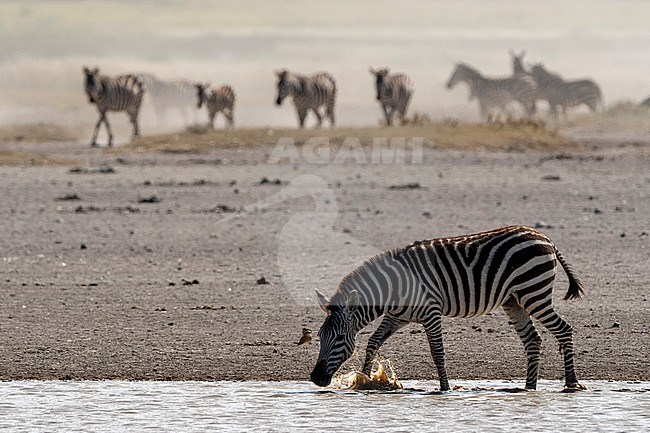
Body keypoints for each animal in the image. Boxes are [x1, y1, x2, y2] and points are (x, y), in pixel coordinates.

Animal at [308, 224, 584, 390]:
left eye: (339, 337)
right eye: (320, 336)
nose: (316, 378)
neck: (393, 288)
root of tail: (544, 236)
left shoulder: (431, 313)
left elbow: (437, 352)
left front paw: (445, 388)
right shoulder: (397, 317)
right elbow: (372, 343)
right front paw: (365, 380)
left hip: (534, 292)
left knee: (564, 330)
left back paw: (571, 383)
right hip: (514, 300)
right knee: (533, 340)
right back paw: (529, 387)